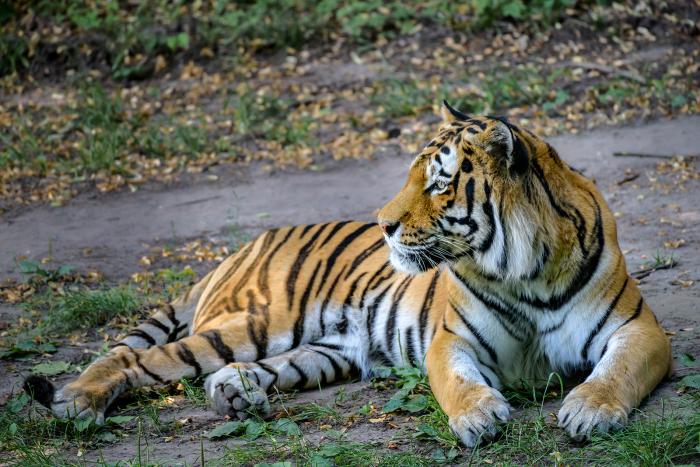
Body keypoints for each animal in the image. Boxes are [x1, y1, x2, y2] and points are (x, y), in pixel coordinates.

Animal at [24, 101, 672, 447]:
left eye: (439, 183)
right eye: (411, 175)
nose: (382, 224)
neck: (523, 270)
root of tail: (240, 248)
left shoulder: (639, 330)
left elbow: (616, 372)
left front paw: (589, 409)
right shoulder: (451, 340)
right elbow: (457, 382)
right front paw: (478, 415)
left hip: (323, 349)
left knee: (243, 372)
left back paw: (238, 394)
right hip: (252, 323)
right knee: (134, 360)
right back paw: (78, 402)